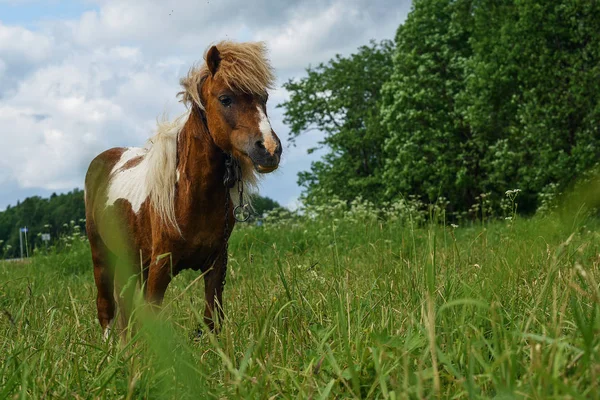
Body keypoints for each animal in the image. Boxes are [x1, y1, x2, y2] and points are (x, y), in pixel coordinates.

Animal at [83, 42, 282, 340]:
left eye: (264, 97)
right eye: (225, 99)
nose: (269, 149)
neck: (188, 195)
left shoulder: (216, 265)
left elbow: (212, 319)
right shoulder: (160, 266)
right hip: (102, 255)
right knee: (107, 306)